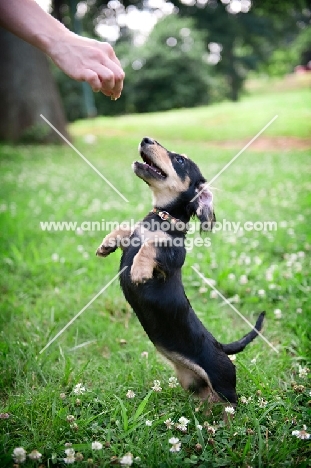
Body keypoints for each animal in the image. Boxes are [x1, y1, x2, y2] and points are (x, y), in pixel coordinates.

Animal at [96, 138, 264, 410]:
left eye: (179, 160)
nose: (145, 139)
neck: (162, 219)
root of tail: (219, 346)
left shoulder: (172, 257)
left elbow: (152, 245)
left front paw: (139, 269)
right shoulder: (135, 235)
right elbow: (127, 229)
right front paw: (107, 243)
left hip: (224, 382)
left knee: (232, 403)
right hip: (191, 382)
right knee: (205, 397)